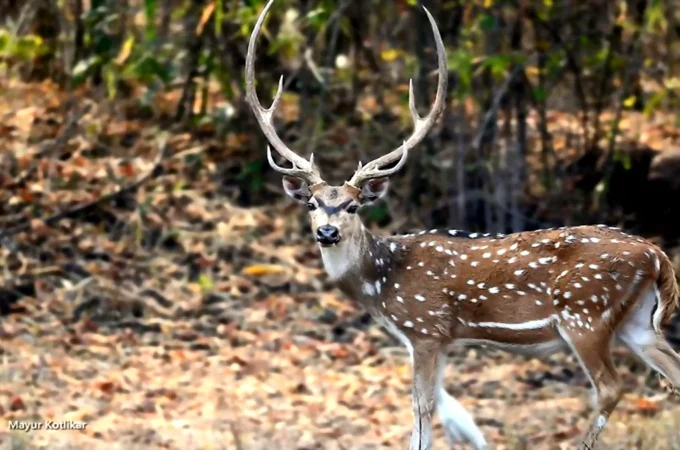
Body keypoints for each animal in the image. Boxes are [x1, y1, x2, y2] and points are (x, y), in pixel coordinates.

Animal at [245, 1, 680, 449]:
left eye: (352, 206)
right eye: (313, 203)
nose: (326, 232)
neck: (381, 282)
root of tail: (658, 256)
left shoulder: (425, 327)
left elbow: (422, 408)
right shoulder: (442, 338)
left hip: (585, 314)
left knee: (610, 387)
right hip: (636, 321)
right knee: (673, 371)